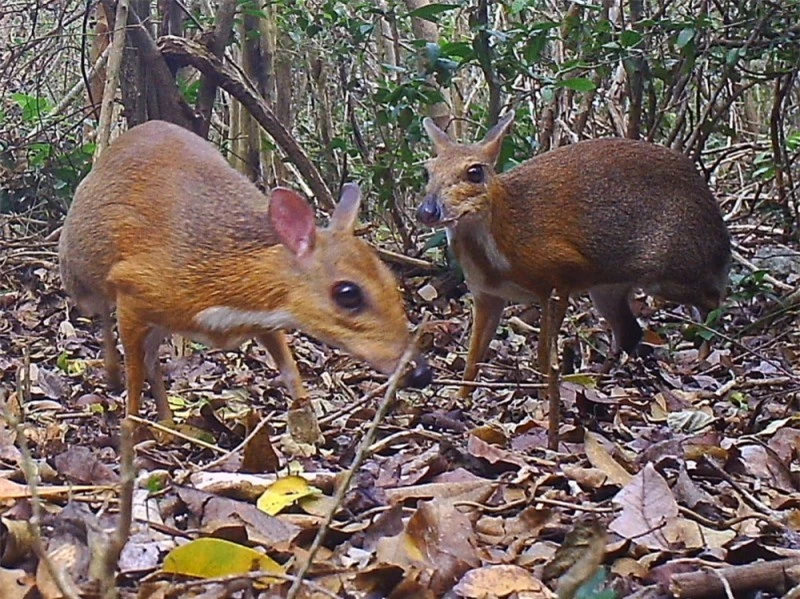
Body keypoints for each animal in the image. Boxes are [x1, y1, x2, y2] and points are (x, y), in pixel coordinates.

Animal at [60, 119, 432, 442]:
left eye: (390, 280)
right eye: (347, 293)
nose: (420, 371)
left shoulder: (266, 319)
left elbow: (290, 370)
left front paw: (312, 429)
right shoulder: (132, 288)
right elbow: (134, 374)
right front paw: (132, 429)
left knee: (152, 358)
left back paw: (168, 425)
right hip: (81, 276)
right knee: (104, 318)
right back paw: (114, 379)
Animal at [418, 111, 732, 450]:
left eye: (475, 172)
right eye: (428, 171)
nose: (427, 210)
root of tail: (717, 222)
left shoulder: (560, 275)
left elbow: (544, 351)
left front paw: (546, 399)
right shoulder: (487, 295)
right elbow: (473, 355)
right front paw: (458, 399)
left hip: (672, 270)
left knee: (714, 299)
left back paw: (704, 357)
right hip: (607, 288)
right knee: (630, 331)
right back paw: (599, 380)